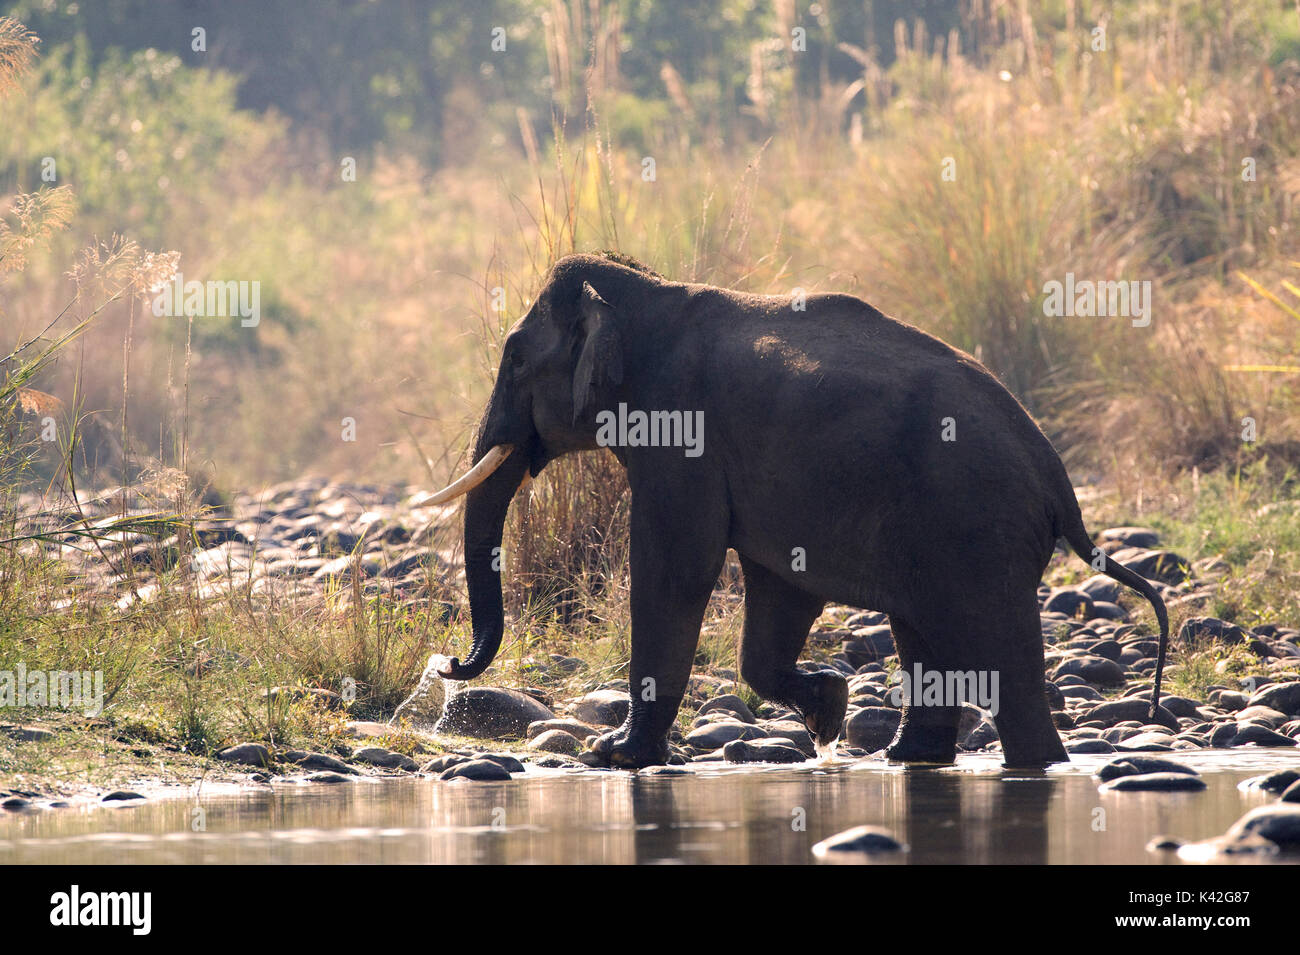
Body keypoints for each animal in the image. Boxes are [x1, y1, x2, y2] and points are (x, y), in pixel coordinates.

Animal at [425, 251, 1169, 769]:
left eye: (516, 360)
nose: (447, 665)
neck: (646, 291)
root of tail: (1059, 481)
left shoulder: (681, 432)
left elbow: (677, 566)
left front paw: (615, 756)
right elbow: (778, 584)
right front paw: (828, 712)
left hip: (978, 522)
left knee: (995, 645)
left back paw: (1031, 764)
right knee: (924, 629)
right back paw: (908, 757)